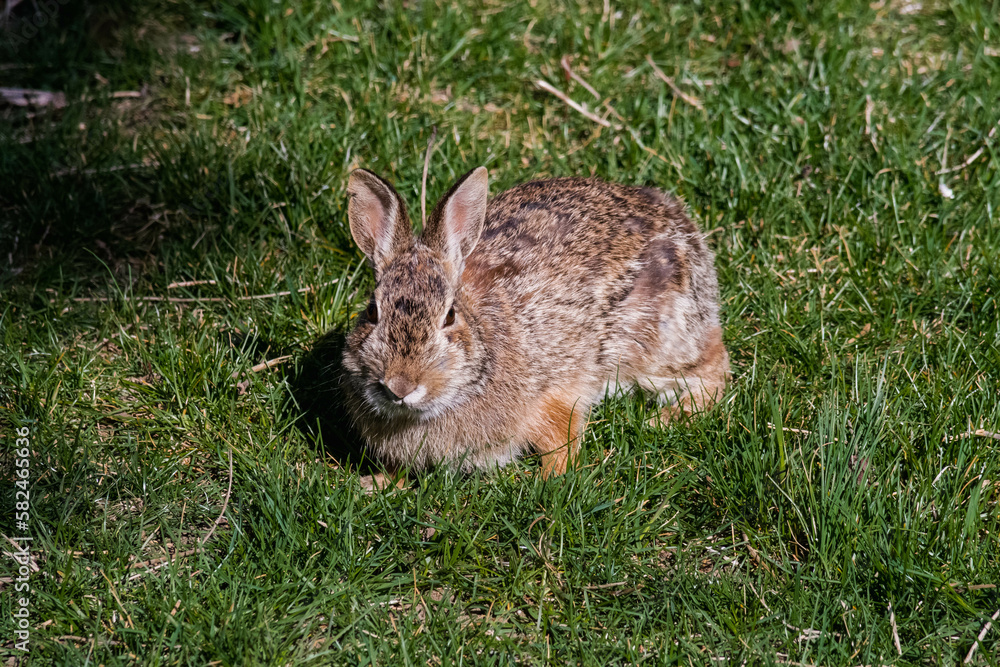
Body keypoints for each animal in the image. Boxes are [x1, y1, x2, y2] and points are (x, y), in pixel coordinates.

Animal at [338, 166, 729, 478]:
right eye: (372, 311)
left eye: (449, 316)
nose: (400, 386)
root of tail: (675, 215)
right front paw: (378, 484)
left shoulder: (553, 396)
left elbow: (562, 440)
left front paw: (547, 481)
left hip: (653, 342)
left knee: (713, 369)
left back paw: (664, 418)